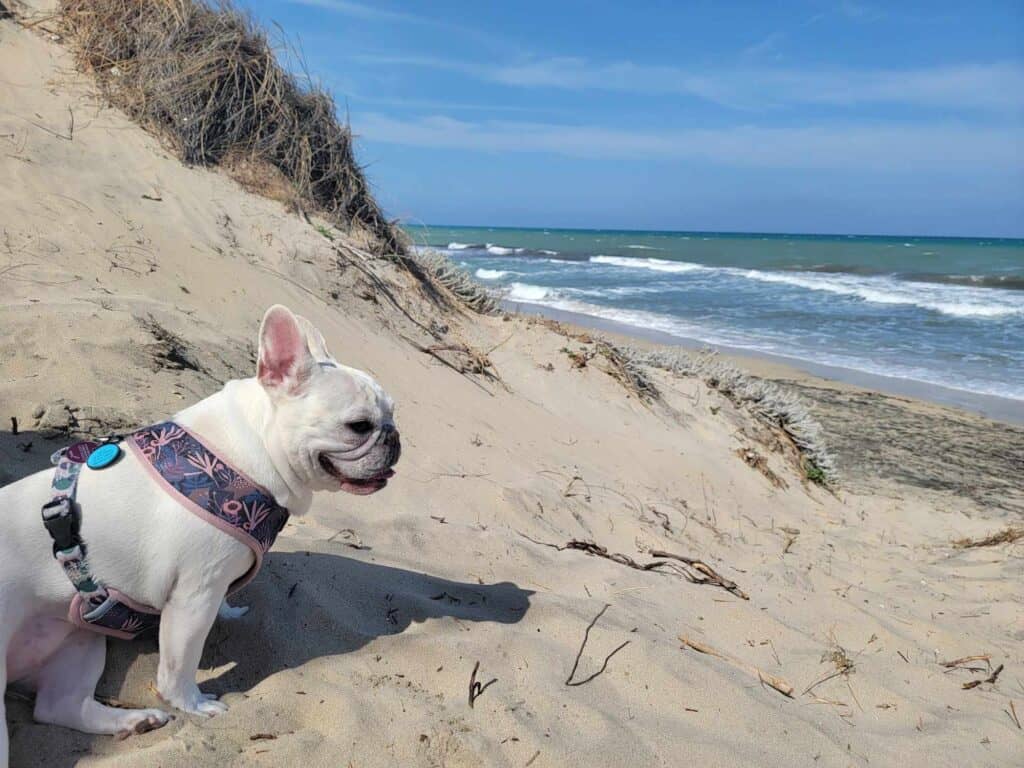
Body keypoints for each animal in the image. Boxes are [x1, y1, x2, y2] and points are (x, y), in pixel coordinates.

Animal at [0, 305, 399, 765]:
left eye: (392, 414)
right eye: (359, 426)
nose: (394, 437)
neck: (248, 452)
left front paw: (231, 613)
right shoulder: (193, 597)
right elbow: (179, 665)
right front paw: (192, 704)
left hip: (82, 640)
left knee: (58, 706)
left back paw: (133, 721)